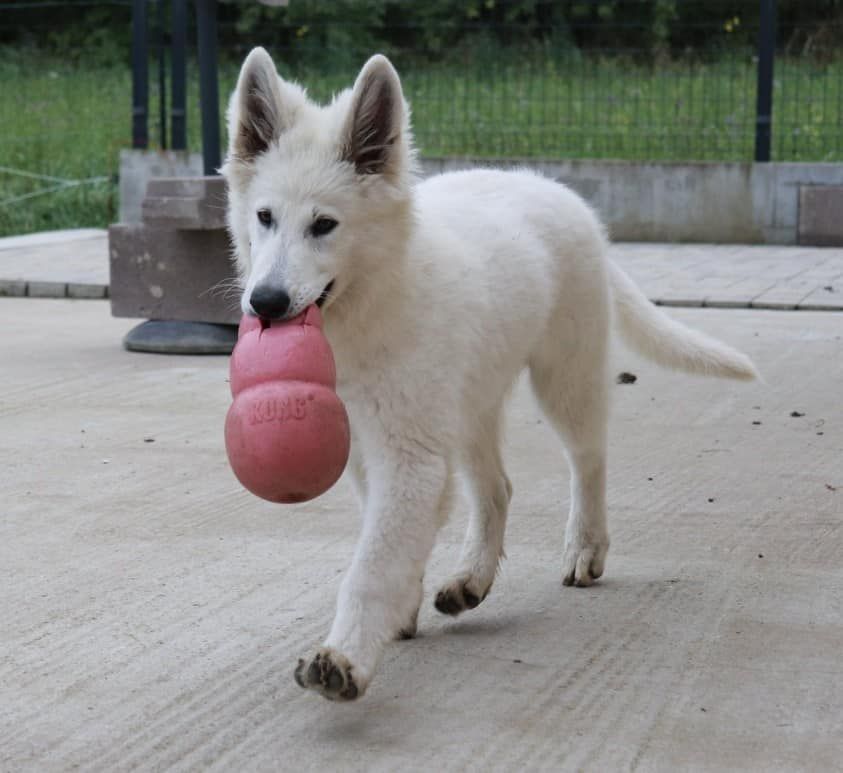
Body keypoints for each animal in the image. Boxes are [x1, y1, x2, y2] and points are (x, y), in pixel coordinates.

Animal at [223, 46, 760, 700]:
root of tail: (554, 189)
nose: (265, 303)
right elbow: (393, 543)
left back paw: (586, 546)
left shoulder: (410, 454)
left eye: (324, 225)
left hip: (563, 379)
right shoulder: (367, 447)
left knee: (589, 459)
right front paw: (396, 616)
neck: (373, 299)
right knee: (497, 488)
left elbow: (372, 564)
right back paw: (471, 580)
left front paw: (344, 657)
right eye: (264, 217)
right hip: (470, 402)